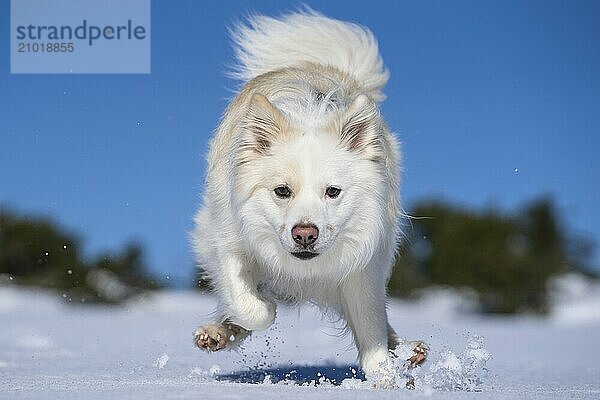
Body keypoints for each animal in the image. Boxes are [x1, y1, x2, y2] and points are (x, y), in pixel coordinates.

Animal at [192, 11, 426, 388]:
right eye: (281, 191)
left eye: (333, 191)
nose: (305, 234)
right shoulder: (225, 239)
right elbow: (250, 305)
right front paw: (254, 313)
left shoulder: (363, 265)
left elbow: (371, 326)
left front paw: (384, 380)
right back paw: (220, 331)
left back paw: (407, 350)